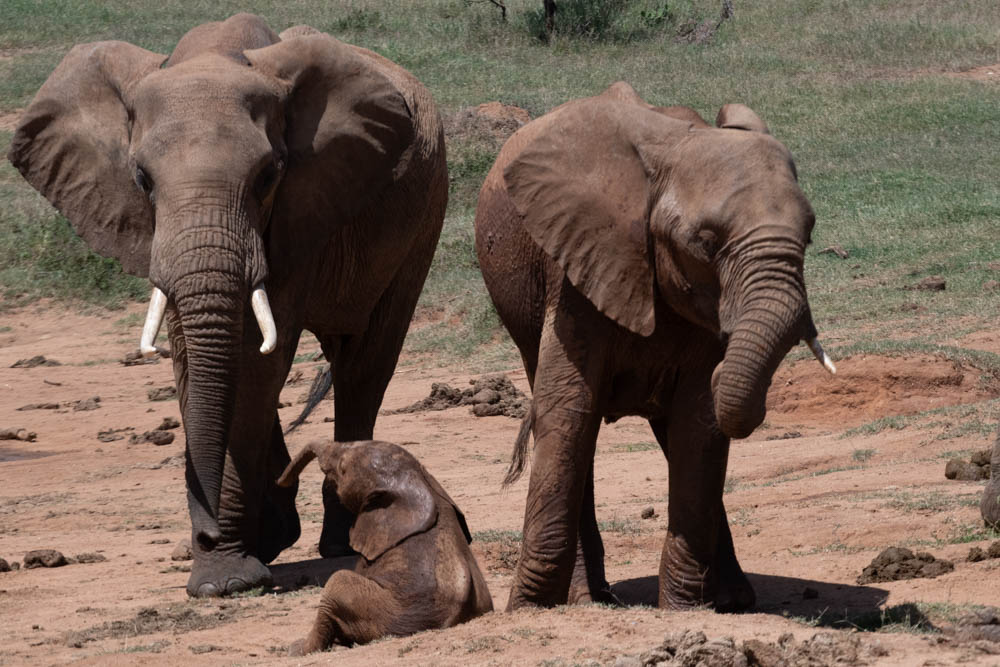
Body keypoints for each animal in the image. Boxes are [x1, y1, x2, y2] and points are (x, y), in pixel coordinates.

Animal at [7, 14, 447, 597]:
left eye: (268, 175)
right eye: (141, 179)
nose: (208, 535)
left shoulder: (297, 209)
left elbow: (258, 361)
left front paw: (226, 579)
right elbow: (194, 359)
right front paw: (234, 562)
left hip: (424, 222)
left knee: (363, 365)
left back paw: (340, 542)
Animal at [474, 81, 835, 611]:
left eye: (808, 235)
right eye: (706, 242)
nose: (728, 360)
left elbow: (697, 425)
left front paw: (684, 609)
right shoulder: (578, 266)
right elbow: (568, 410)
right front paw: (530, 608)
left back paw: (733, 600)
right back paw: (588, 599)